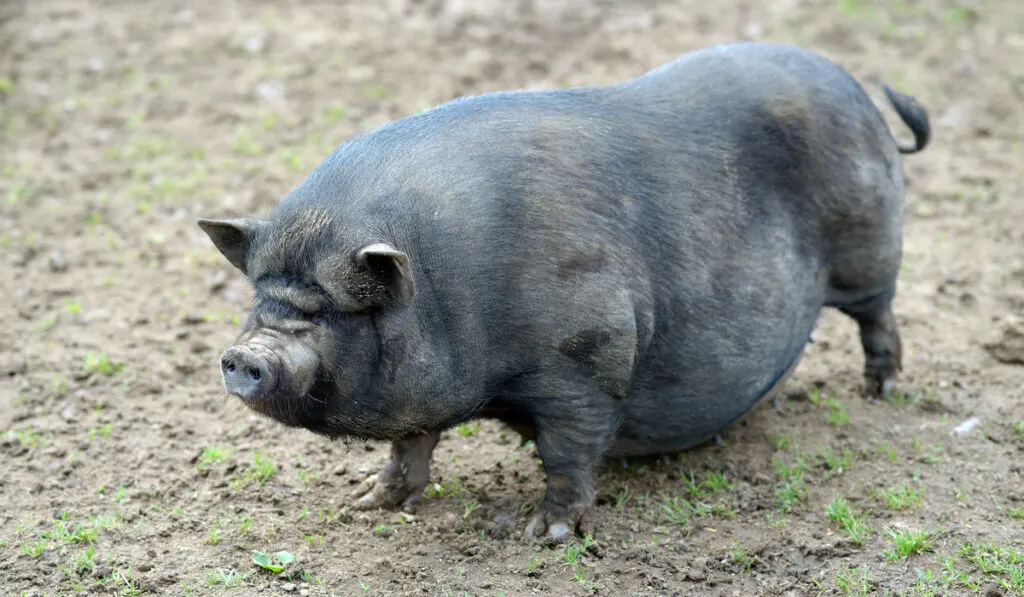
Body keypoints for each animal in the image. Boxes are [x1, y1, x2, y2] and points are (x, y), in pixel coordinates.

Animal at [197, 41, 929, 540]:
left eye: (334, 310)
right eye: (260, 296)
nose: (243, 355)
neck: (445, 289)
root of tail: (861, 94)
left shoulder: (585, 361)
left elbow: (567, 453)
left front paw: (542, 536)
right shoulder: (424, 394)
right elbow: (411, 447)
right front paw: (367, 504)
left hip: (869, 245)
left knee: (879, 314)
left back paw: (882, 391)